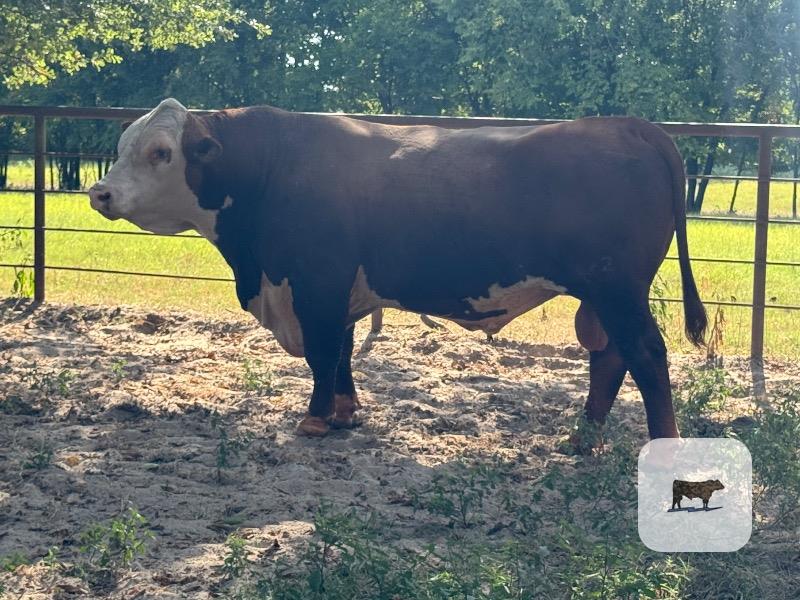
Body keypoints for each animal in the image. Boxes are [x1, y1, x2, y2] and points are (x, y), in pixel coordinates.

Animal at [88, 98, 706, 443]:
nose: (101, 192)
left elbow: (322, 353)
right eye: (123, 145)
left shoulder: (316, 283)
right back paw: (582, 438)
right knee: (609, 356)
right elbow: (340, 352)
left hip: (617, 287)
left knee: (645, 355)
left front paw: (314, 421)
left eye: (162, 152)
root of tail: (630, 125)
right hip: (603, 294)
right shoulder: (339, 291)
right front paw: (343, 414)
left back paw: (661, 446)